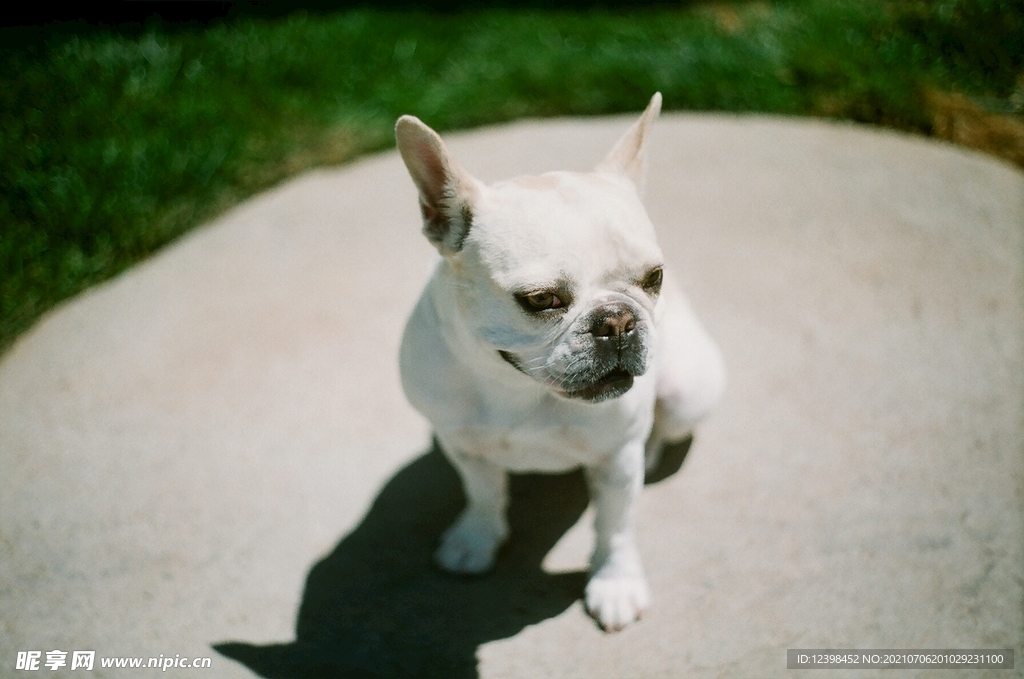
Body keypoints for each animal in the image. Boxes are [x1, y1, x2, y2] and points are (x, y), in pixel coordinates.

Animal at [395, 94, 724, 630]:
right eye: (541, 299)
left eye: (654, 277)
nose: (617, 321)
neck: (521, 389)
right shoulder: (461, 444)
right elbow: (482, 493)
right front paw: (476, 540)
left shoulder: (616, 462)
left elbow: (614, 526)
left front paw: (615, 582)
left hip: (687, 392)